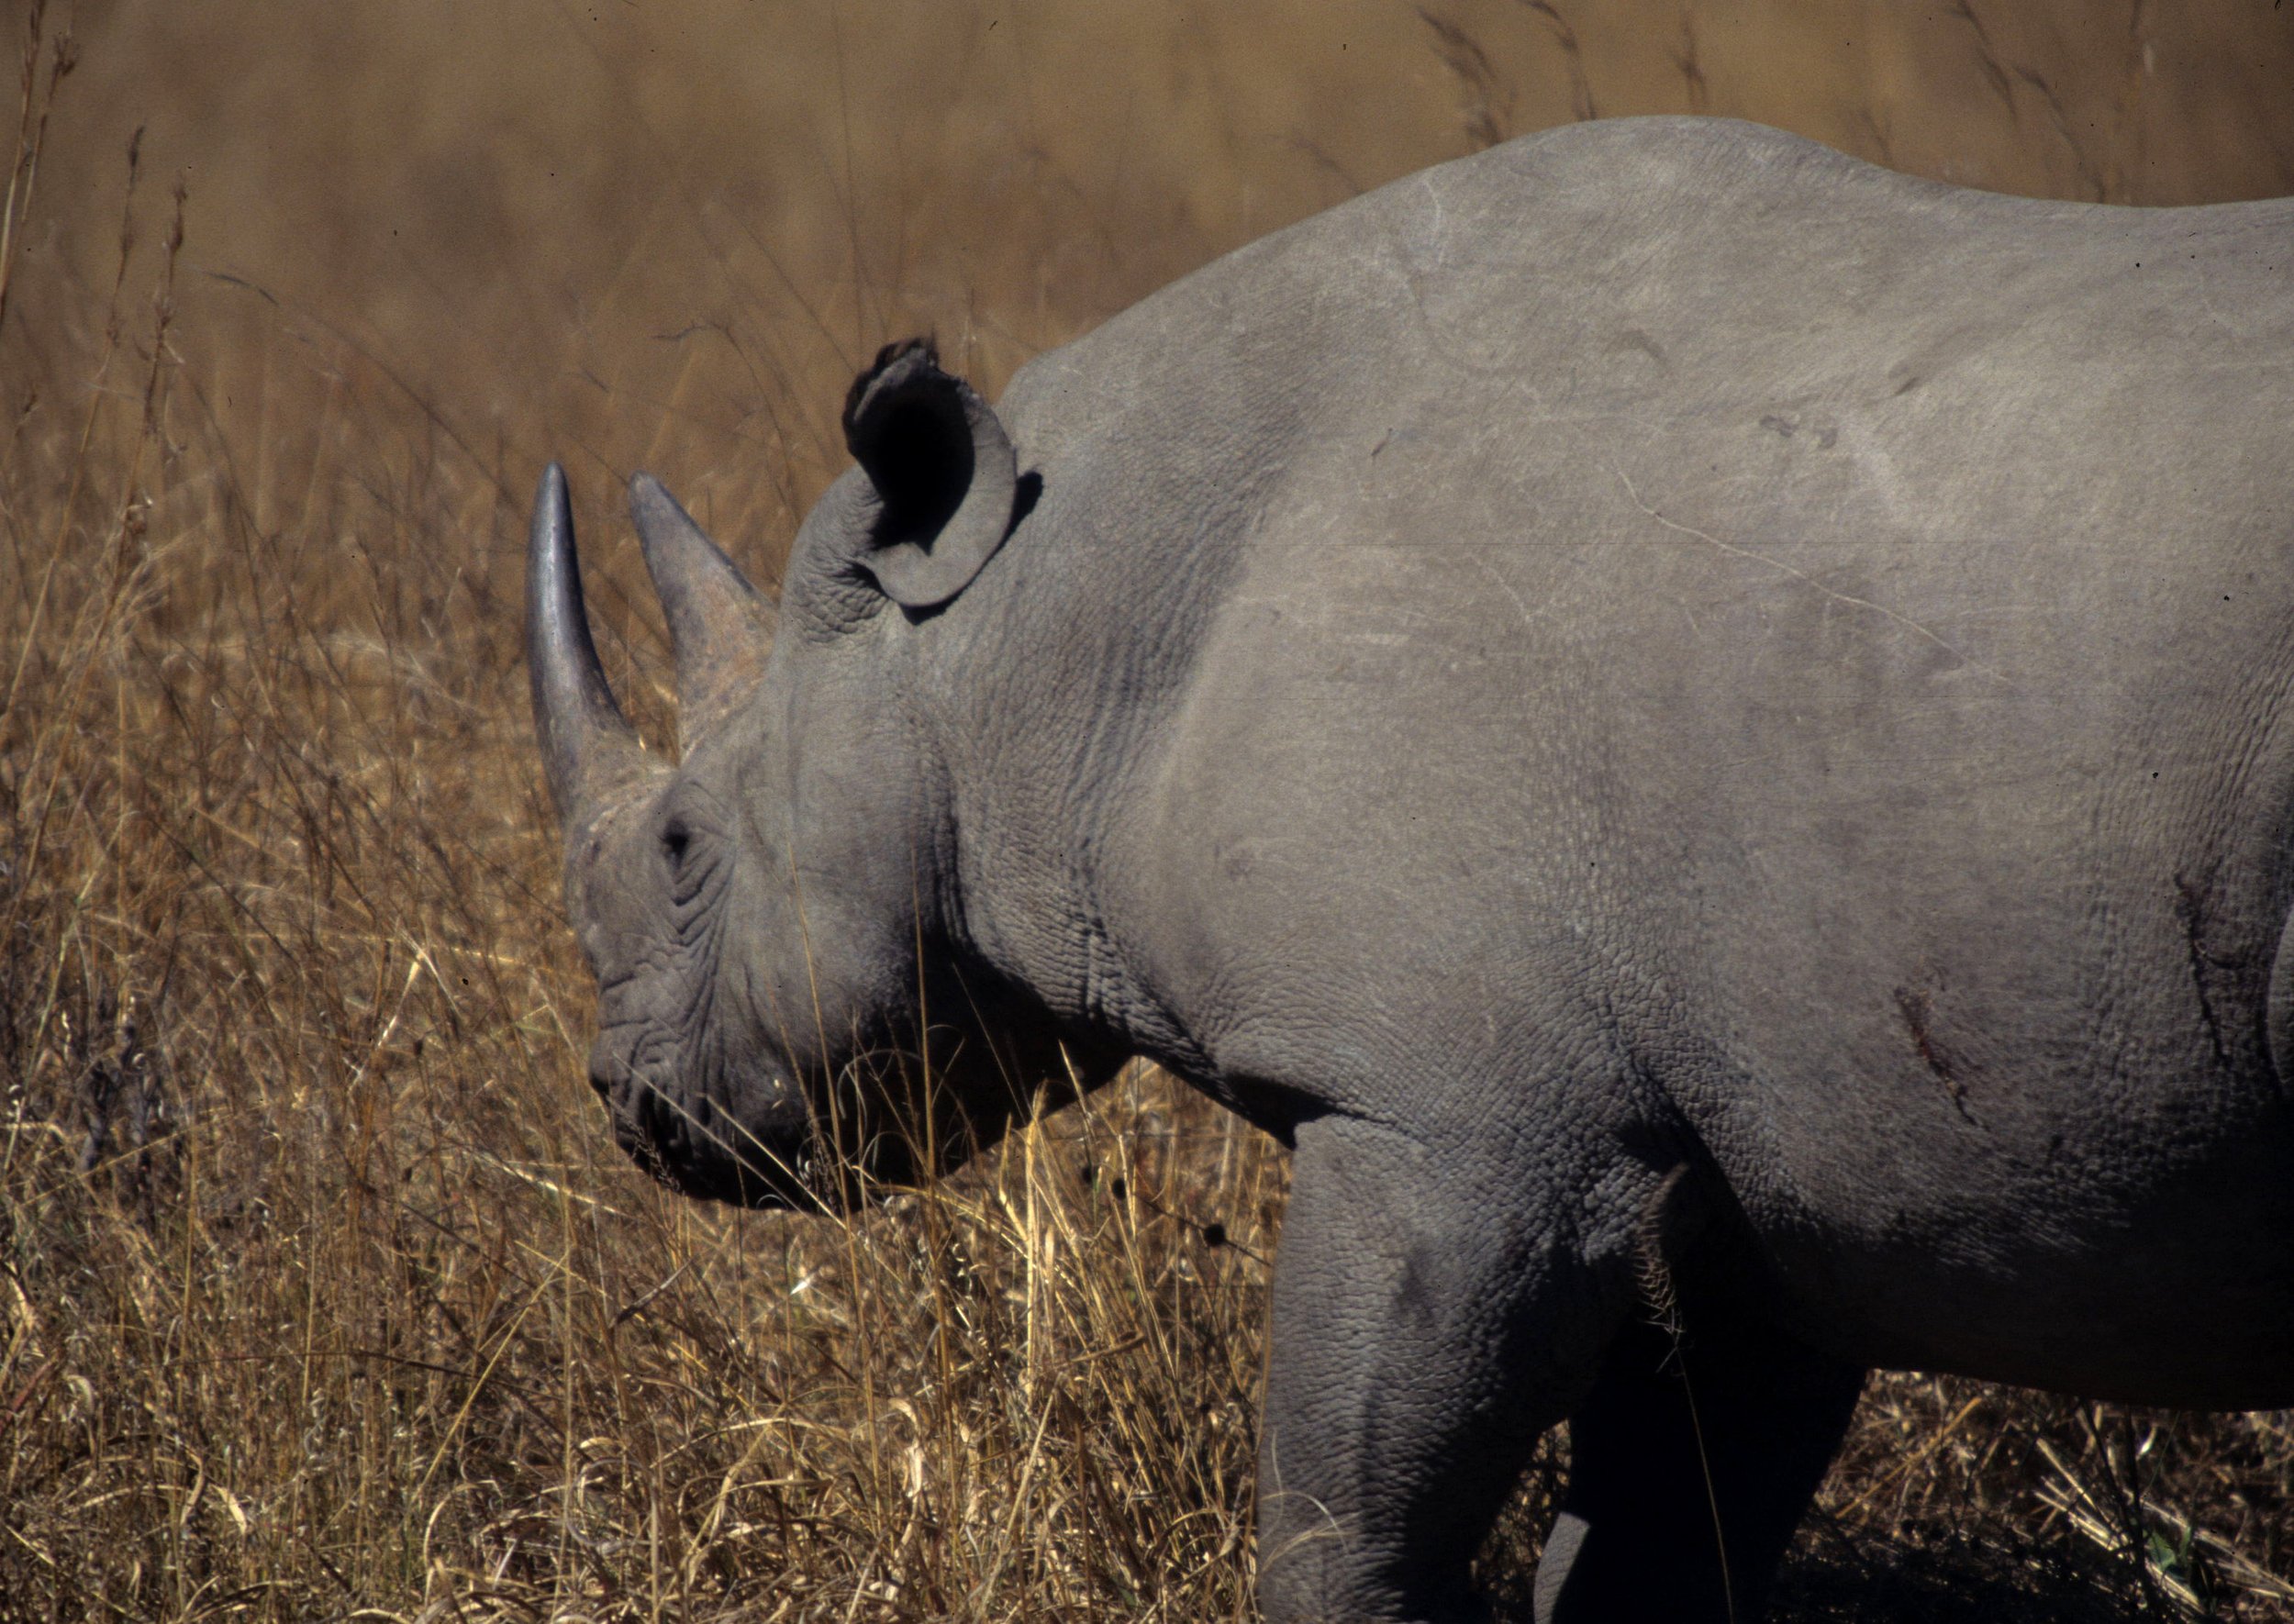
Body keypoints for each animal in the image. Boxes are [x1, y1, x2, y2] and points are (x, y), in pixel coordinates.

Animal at [527, 116, 2294, 1622]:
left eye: (683, 850)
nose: (626, 1102)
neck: (1026, 631)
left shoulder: (1453, 1115)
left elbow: (1344, 1520)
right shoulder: (1767, 1162)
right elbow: (1662, 1537)